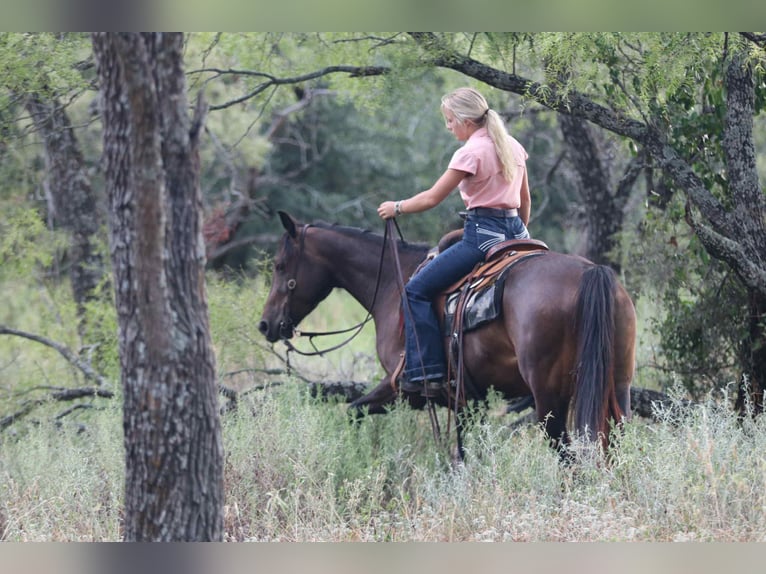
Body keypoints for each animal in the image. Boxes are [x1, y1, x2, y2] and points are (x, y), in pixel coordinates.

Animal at [258, 211, 637, 452]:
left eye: (279, 266)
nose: (266, 324)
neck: (393, 284)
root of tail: (591, 272)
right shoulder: (469, 400)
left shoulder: (401, 385)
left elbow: (354, 410)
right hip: (616, 387)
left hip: (549, 399)